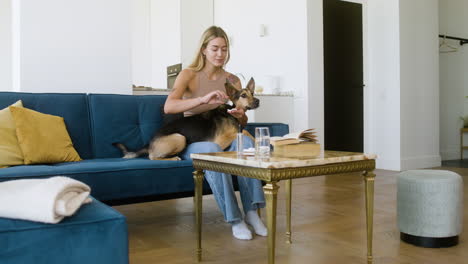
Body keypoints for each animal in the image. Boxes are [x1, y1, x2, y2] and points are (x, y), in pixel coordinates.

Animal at [114, 77, 260, 160]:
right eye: (243, 95)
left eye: (253, 93)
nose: (258, 101)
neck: (231, 113)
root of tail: (149, 143)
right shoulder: (221, 140)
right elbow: (244, 131)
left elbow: (245, 131)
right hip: (180, 138)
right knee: (152, 156)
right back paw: (173, 158)